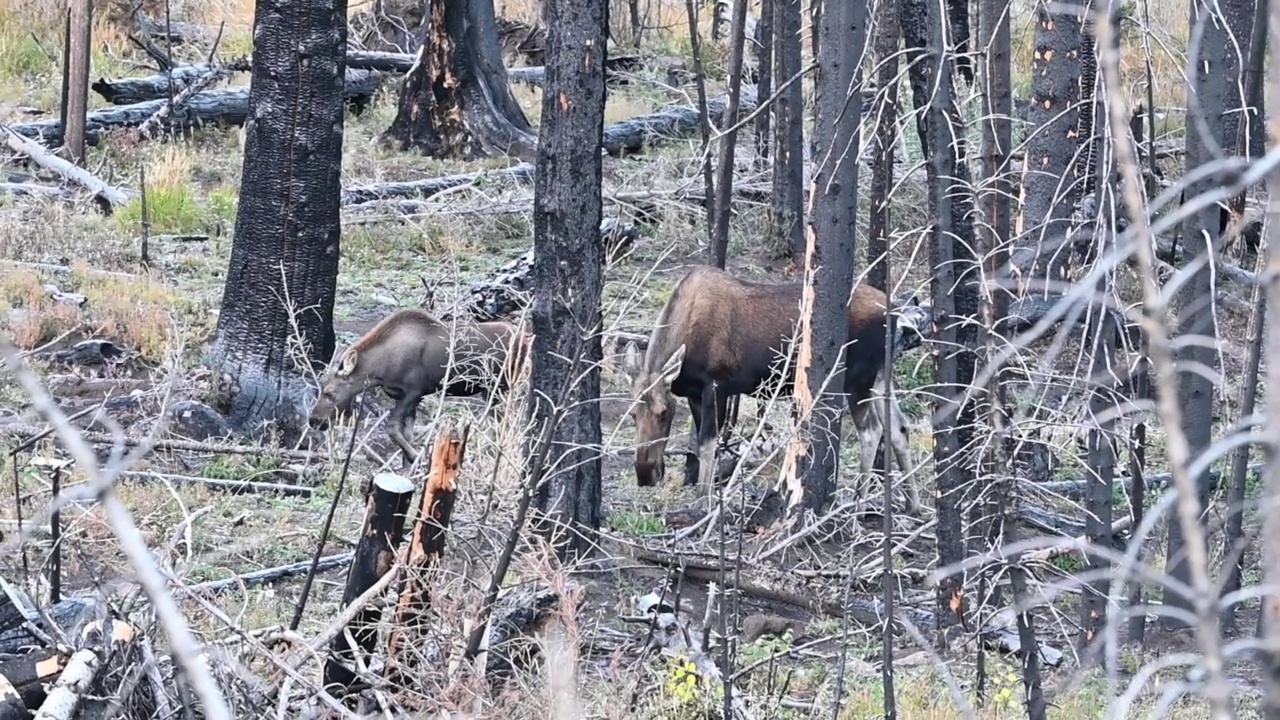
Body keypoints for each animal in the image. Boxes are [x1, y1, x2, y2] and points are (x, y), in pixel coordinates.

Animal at [616, 263, 926, 499]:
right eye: (631, 414)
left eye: (663, 413)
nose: (644, 474)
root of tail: (895, 314)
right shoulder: (695, 394)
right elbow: (700, 445)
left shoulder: (716, 386)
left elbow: (707, 444)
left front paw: (704, 500)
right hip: (882, 376)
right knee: (899, 427)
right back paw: (913, 504)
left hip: (857, 378)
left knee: (872, 430)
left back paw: (859, 502)